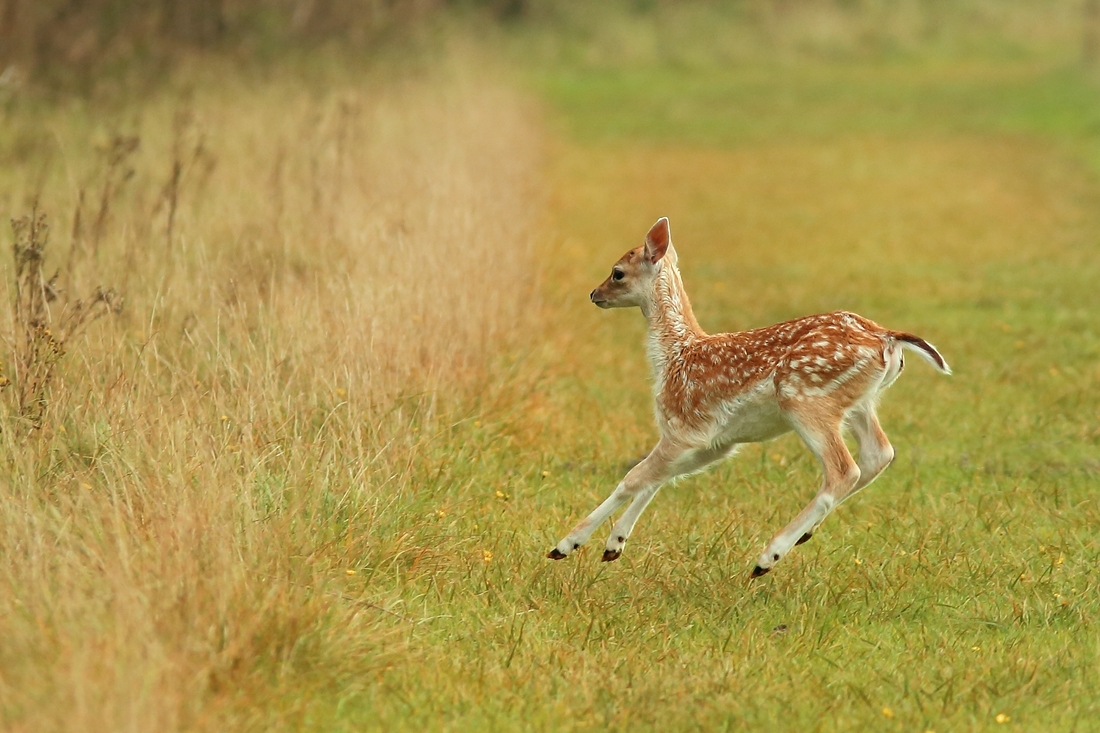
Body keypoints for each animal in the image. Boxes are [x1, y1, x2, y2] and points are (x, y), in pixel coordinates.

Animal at [545, 216, 950, 576]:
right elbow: (657, 478)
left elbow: (634, 477)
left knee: (844, 469)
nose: (594, 294)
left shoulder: (683, 424)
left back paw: (767, 558)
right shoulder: (714, 442)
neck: (676, 355)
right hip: (859, 404)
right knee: (879, 454)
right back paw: (805, 534)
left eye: (617, 272)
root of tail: (887, 338)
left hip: (805, 399)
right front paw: (613, 545)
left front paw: (566, 545)